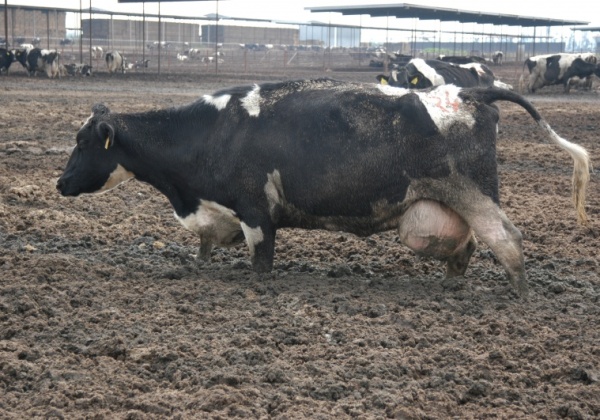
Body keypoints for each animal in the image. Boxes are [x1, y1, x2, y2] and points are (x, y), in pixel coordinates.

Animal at [56, 78, 592, 296]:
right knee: (464, 249)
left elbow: (261, 260)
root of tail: (466, 90)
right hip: (450, 204)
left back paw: (519, 298)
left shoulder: (256, 211)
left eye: (82, 143)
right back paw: (449, 287)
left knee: (507, 240)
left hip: (475, 194)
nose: (59, 183)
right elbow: (205, 249)